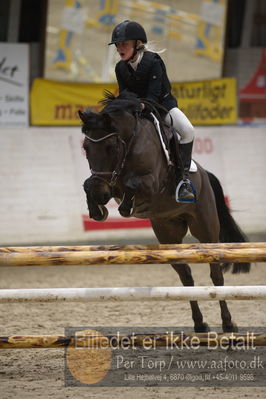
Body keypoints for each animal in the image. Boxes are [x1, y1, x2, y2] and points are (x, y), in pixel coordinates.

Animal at [78, 91, 250, 334]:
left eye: (111, 147)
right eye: (86, 148)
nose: (100, 194)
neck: (130, 143)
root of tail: (205, 174)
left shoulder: (151, 183)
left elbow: (132, 184)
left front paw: (126, 207)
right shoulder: (110, 182)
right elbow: (88, 183)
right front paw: (97, 209)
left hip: (205, 229)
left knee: (216, 275)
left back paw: (227, 324)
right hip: (168, 232)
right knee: (186, 276)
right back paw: (199, 324)